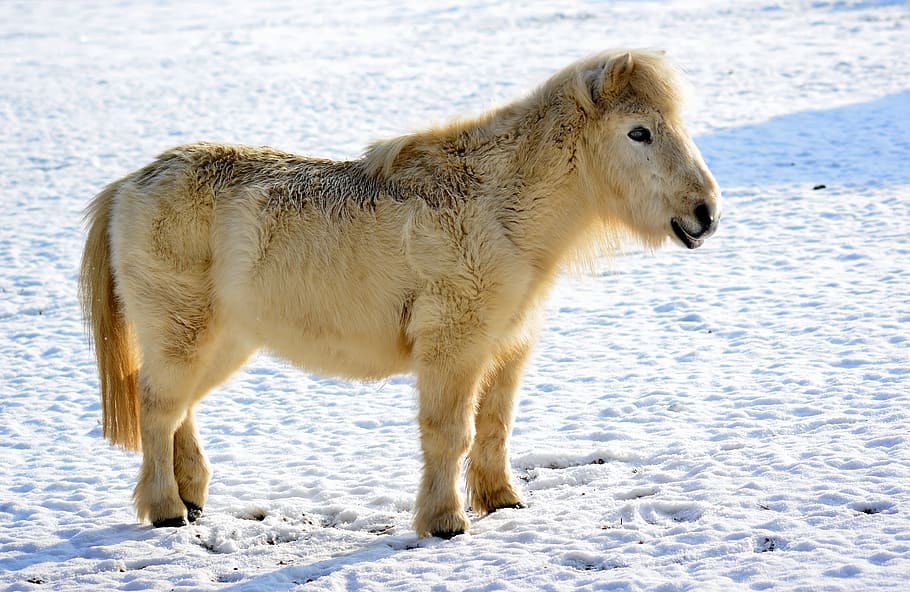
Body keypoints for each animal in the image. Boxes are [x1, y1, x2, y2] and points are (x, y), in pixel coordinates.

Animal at [79, 49, 721, 539]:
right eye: (638, 132)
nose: (706, 213)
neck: (498, 208)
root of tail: (130, 183)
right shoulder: (453, 348)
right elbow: (451, 433)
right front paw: (445, 522)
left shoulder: (506, 349)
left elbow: (495, 426)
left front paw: (502, 501)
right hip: (183, 330)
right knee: (158, 407)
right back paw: (166, 510)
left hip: (221, 340)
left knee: (177, 407)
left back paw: (192, 499)